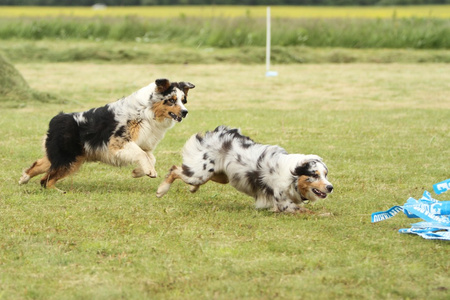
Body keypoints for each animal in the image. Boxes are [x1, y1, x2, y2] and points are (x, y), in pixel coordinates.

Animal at [18, 78, 193, 191]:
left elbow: (150, 157)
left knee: (39, 166)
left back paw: (23, 179)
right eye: (172, 100)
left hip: (64, 157)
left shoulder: (143, 144)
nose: (185, 112)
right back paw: (59, 192)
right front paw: (149, 172)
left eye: (183, 100)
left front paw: (138, 172)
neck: (146, 111)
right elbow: (142, 155)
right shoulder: (118, 142)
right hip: (68, 159)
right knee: (46, 180)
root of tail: (57, 118)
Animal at [156, 125, 332, 212]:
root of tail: (218, 132)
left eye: (325, 174)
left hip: (221, 176)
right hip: (200, 173)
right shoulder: (285, 205)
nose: (330, 187)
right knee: (175, 169)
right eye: (314, 175)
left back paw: (193, 189)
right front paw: (327, 214)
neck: (292, 176)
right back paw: (162, 190)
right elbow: (309, 212)